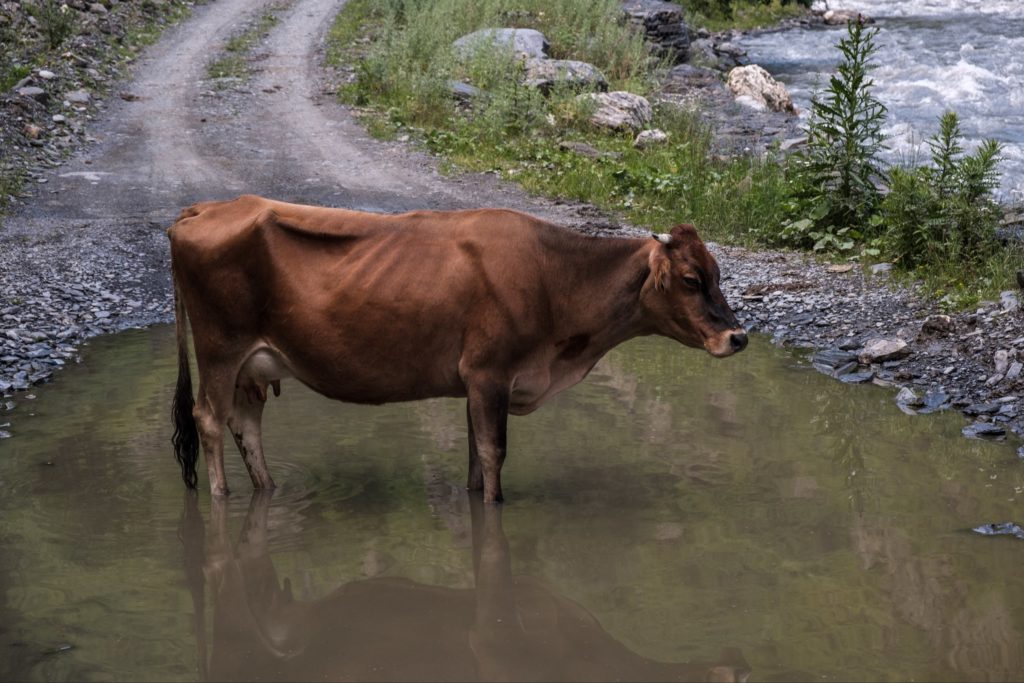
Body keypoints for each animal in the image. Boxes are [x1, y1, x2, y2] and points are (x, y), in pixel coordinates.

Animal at [165, 193, 745, 501]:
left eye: (719, 273)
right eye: (691, 279)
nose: (737, 336)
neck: (553, 279)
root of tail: (203, 208)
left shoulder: (473, 383)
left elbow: (473, 456)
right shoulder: (490, 373)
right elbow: (493, 454)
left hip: (252, 365)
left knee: (247, 425)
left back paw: (266, 490)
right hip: (219, 349)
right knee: (209, 419)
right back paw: (220, 497)